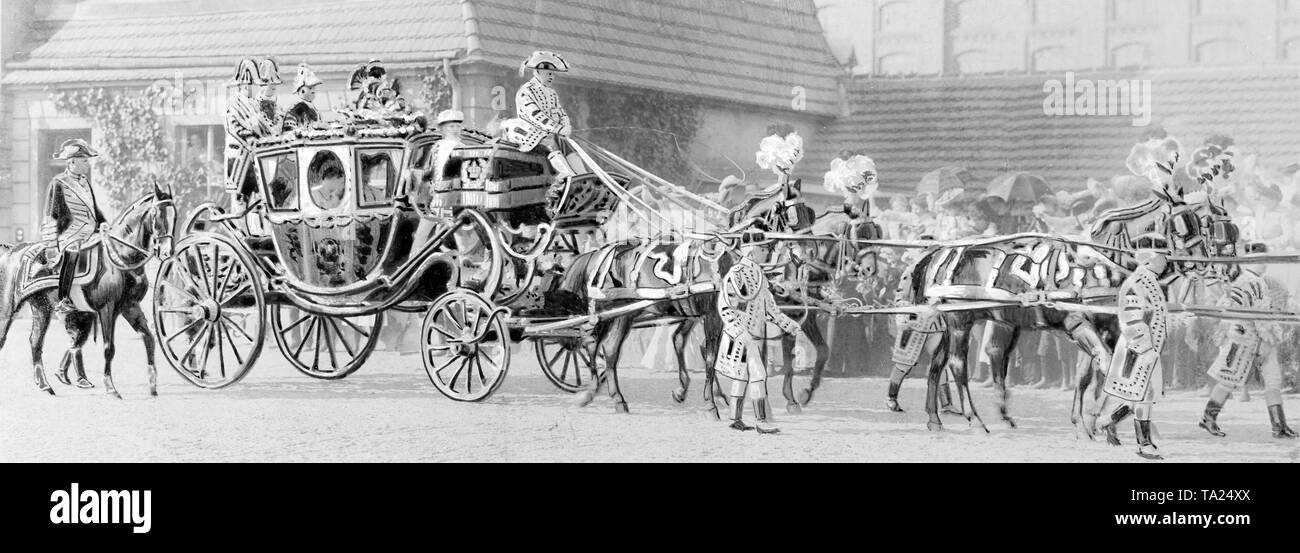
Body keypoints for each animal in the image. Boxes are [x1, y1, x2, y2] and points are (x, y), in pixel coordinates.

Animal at [0, 180, 176, 395]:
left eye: (174, 214)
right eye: (157, 214)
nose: (167, 252)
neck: (120, 257)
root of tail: (12, 249)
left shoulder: (130, 306)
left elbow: (149, 339)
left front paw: (152, 385)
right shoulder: (107, 309)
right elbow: (109, 347)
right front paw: (110, 387)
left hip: (43, 308)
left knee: (36, 341)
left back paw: (45, 384)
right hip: (9, 309)